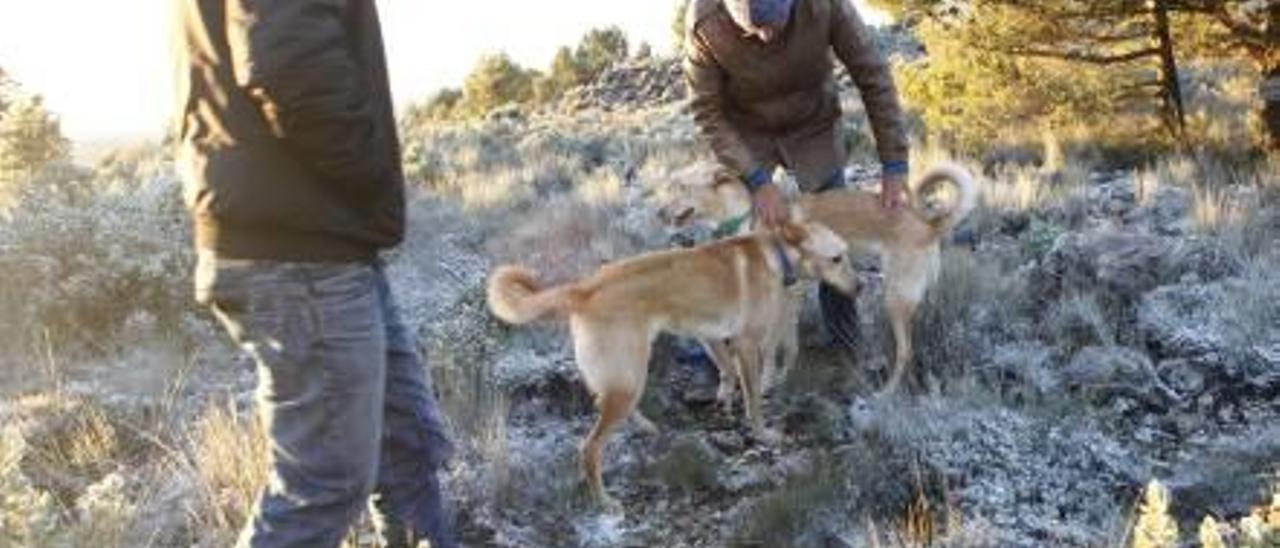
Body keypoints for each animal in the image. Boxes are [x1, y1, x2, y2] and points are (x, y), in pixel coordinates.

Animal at [483, 218, 855, 509]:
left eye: (846, 255)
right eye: (836, 258)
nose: (861, 286)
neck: (778, 255)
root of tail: (583, 289)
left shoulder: (711, 335)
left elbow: (726, 371)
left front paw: (724, 399)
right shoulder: (747, 345)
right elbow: (753, 401)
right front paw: (762, 433)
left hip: (625, 377)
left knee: (603, 403)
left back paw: (646, 427)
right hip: (629, 376)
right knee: (589, 449)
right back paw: (604, 500)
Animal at [660, 161, 977, 394]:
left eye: (682, 187)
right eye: (672, 185)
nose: (659, 213)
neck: (746, 216)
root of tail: (928, 224)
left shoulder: (781, 302)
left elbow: (772, 348)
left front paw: (766, 383)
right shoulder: (791, 298)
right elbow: (789, 343)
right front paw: (784, 375)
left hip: (895, 298)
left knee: (905, 352)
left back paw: (887, 391)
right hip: (918, 296)